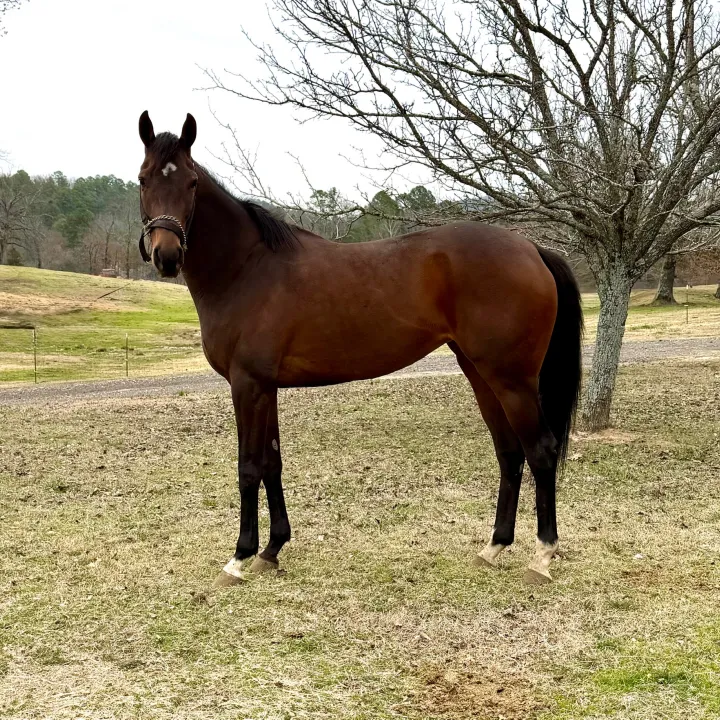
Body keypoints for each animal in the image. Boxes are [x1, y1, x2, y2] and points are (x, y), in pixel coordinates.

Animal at [137, 111, 583, 587]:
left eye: (191, 184)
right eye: (143, 179)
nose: (167, 255)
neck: (247, 269)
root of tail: (531, 247)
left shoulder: (247, 386)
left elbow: (249, 467)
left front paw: (239, 558)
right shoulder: (266, 387)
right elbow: (273, 463)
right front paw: (272, 550)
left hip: (512, 380)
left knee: (541, 450)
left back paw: (542, 556)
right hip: (481, 374)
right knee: (509, 452)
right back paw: (494, 546)